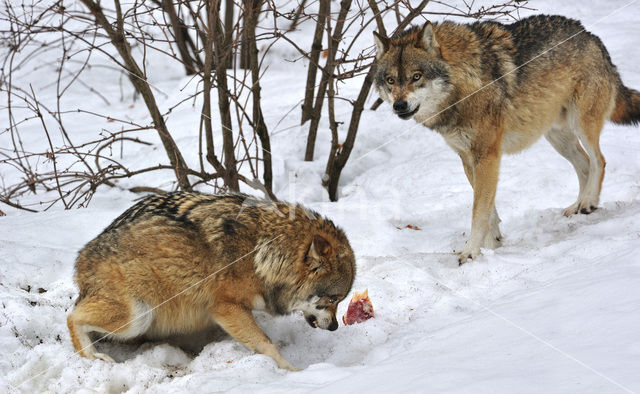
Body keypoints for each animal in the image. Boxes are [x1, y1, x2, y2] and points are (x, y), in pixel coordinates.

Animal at [68, 192, 358, 370]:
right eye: (332, 299)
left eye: (339, 301)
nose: (335, 327)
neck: (263, 254)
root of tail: (80, 260)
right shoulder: (226, 307)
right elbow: (267, 344)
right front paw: (292, 372)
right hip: (138, 316)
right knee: (72, 317)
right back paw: (92, 356)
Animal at [372, 13, 640, 264]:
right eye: (390, 80)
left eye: (416, 77)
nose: (399, 105)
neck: (463, 84)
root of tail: (591, 36)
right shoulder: (468, 158)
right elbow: (489, 210)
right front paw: (492, 245)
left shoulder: (487, 156)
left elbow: (479, 211)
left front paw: (470, 252)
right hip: (556, 137)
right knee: (584, 165)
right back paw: (578, 205)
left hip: (582, 125)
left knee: (599, 161)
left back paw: (589, 202)